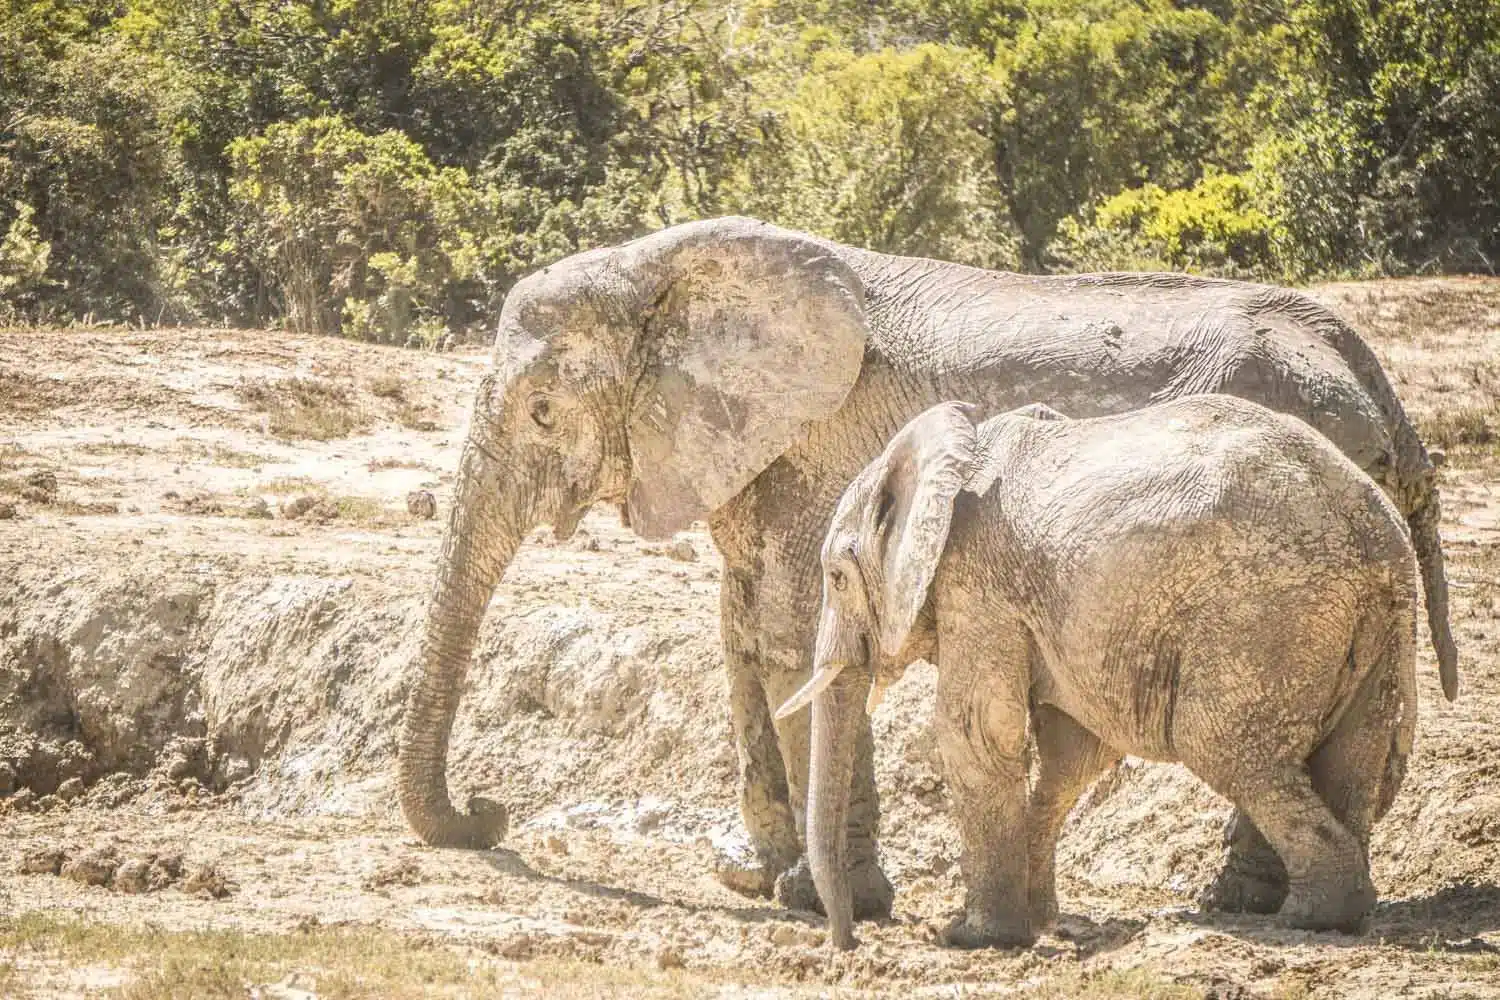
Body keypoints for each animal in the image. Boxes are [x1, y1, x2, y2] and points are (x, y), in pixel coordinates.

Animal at [778, 396, 1423, 950]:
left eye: (836, 578)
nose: (846, 943)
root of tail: (1379, 533)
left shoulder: (977, 583)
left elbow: (977, 732)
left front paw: (973, 937)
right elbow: (1073, 747)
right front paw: (1037, 923)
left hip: (1267, 612)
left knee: (1220, 745)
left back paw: (1307, 918)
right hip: (1366, 623)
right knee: (1353, 755)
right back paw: (1334, 912)